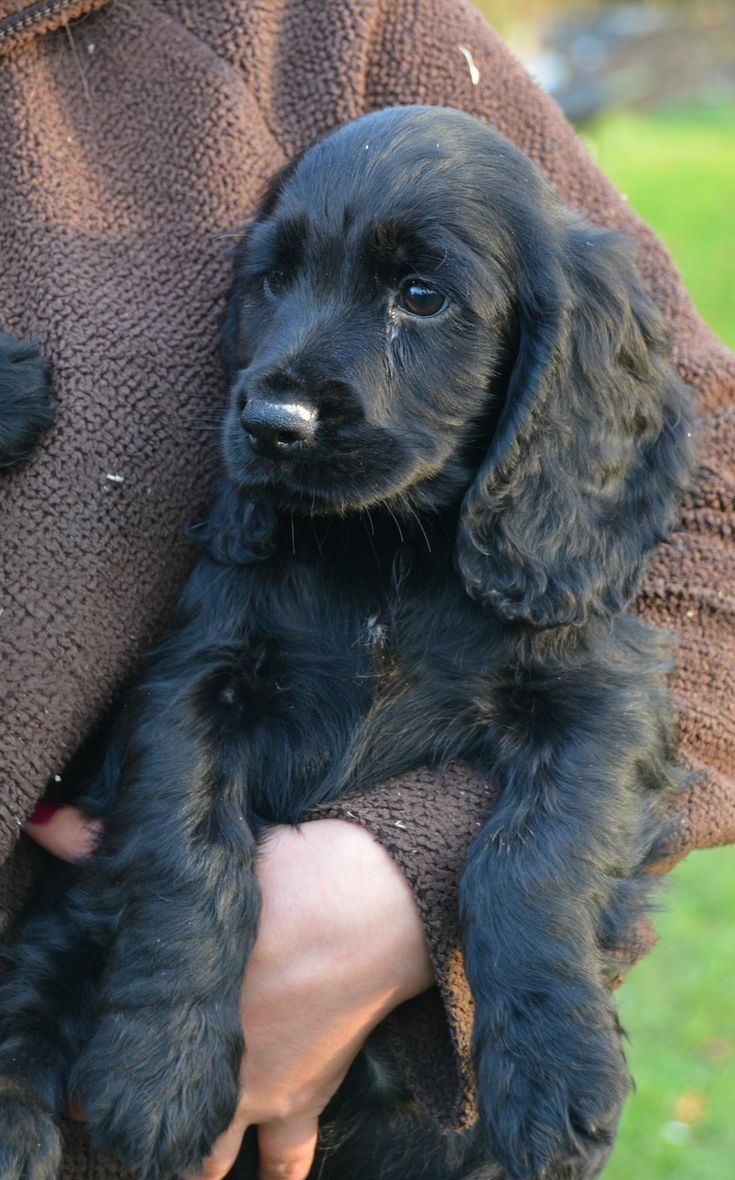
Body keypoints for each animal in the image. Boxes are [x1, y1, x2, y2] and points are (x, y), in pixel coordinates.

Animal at [0, 103, 698, 1180]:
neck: (383, 559)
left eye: (421, 295)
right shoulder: (192, 683)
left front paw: (557, 1067)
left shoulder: (604, 698)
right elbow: (188, 854)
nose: (269, 420)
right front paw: (160, 1069)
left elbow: (534, 854)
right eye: (273, 281)